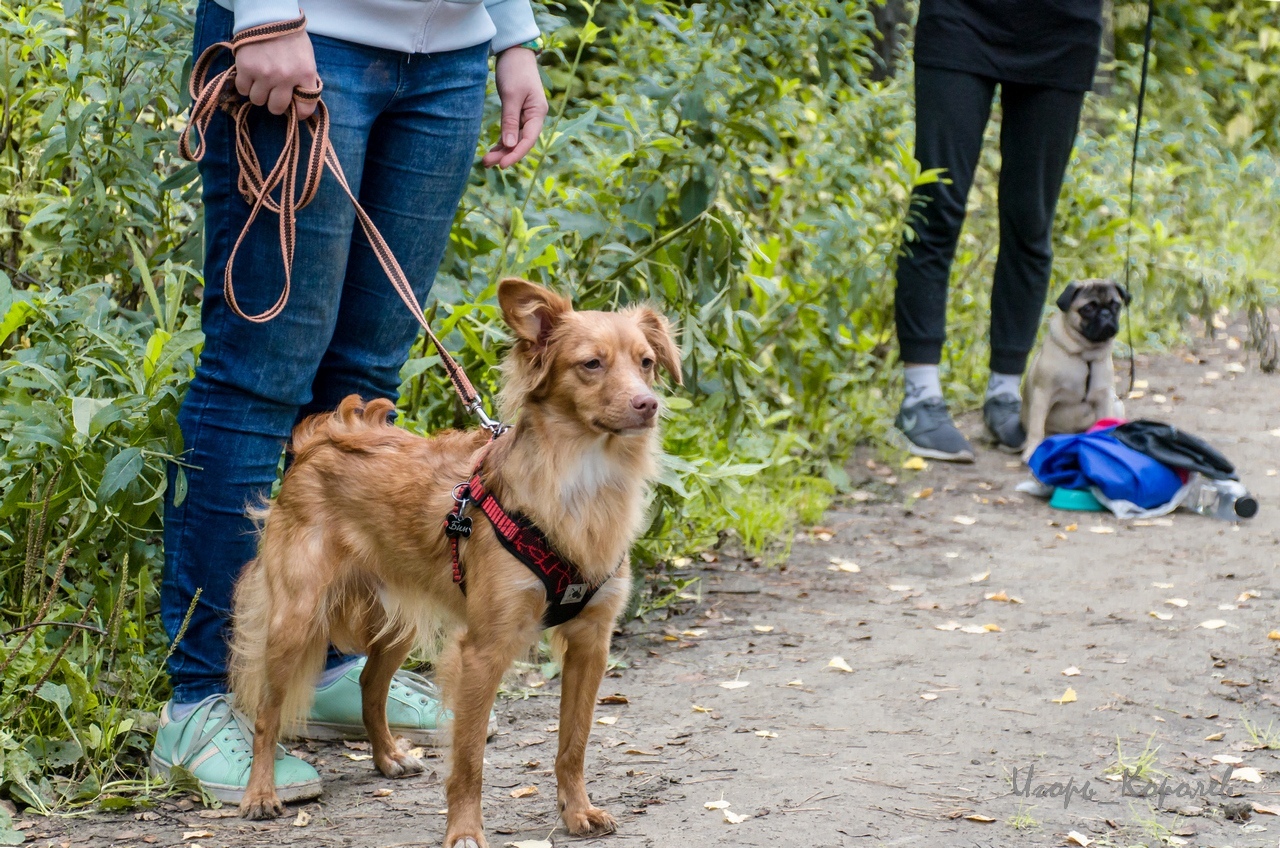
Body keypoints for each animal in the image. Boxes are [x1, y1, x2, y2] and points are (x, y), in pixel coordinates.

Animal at [229, 280, 680, 848]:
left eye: (646, 362)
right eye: (591, 364)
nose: (649, 403)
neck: (582, 480)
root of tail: (321, 439)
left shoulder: (590, 643)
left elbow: (573, 743)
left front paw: (577, 811)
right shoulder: (482, 651)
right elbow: (469, 760)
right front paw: (465, 831)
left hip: (394, 617)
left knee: (370, 683)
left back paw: (389, 757)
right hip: (296, 619)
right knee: (266, 711)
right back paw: (260, 793)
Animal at [1018, 280, 1131, 466]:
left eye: (1115, 305)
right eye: (1088, 308)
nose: (1106, 313)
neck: (1085, 353)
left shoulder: (1104, 397)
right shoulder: (1043, 395)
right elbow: (1036, 428)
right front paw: (1033, 450)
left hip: (1116, 404)